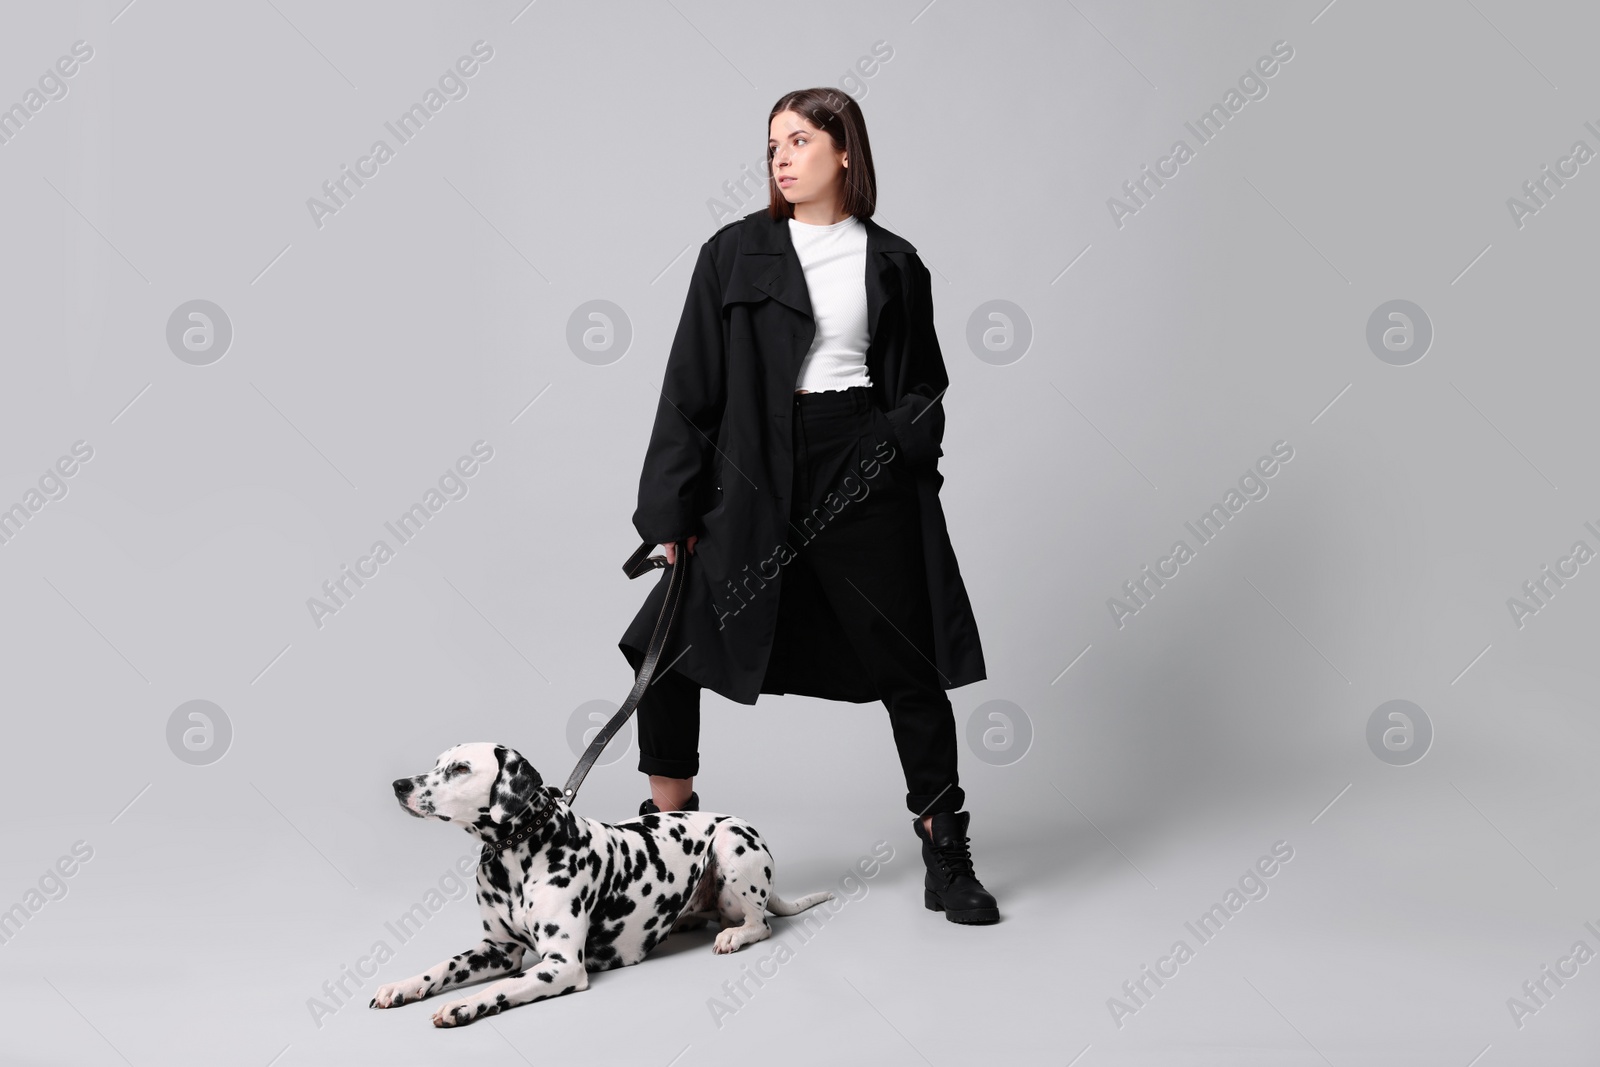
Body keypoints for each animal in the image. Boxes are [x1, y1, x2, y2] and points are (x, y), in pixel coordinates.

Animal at [368, 742, 832, 1023]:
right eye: (436, 764)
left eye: (460, 768)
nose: (399, 785)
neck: (516, 858)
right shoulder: (496, 950)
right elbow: (442, 966)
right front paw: (403, 986)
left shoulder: (561, 965)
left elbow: (503, 987)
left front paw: (463, 1004)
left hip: (732, 843)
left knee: (760, 924)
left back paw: (735, 935)